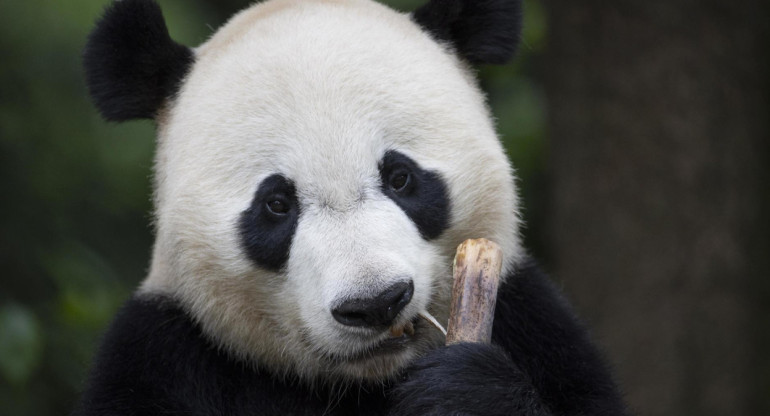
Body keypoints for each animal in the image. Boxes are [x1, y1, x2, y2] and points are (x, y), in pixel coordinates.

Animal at [75, 0, 628, 414]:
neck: (366, 379)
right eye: (276, 204)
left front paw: (464, 392)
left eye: (400, 177)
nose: (376, 303)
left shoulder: (534, 321)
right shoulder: (162, 357)